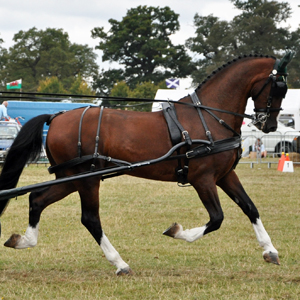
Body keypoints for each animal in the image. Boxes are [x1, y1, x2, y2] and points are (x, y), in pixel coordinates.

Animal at [0, 53, 292, 274]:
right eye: (278, 88)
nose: (269, 125)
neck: (209, 117)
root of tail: (56, 117)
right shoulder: (203, 179)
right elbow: (217, 218)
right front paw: (176, 231)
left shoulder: (224, 175)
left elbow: (250, 208)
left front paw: (270, 250)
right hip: (87, 179)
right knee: (90, 219)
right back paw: (120, 263)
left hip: (70, 178)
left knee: (37, 199)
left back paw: (23, 240)